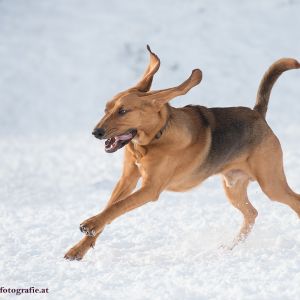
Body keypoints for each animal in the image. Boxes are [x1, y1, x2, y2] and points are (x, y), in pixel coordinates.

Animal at [65, 45, 300, 260]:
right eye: (106, 109)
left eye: (123, 111)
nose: (96, 132)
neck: (154, 138)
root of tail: (257, 114)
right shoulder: (127, 180)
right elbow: (110, 208)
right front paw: (80, 247)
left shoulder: (150, 189)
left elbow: (117, 207)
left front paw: (91, 223)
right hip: (233, 187)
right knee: (251, 213)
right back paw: (230, 246)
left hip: (271, 184)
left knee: (293, 201)